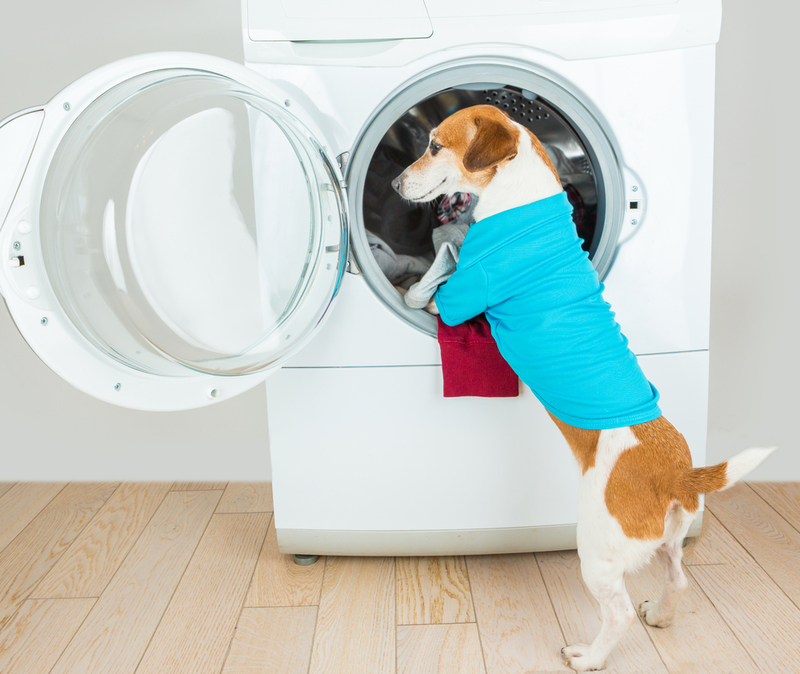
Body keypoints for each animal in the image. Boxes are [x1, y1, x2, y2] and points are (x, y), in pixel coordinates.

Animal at [390, 103, 772, 668]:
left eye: (435, 146)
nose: (394, 183)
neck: (521, 199)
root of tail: (679, 473)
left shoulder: (462, 296)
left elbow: (429, 290)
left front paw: (419, 276)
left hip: (596, 549)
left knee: (617, 613)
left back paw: (589, 656)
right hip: (669, 541)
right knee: (678, 578)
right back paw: (661, 614)